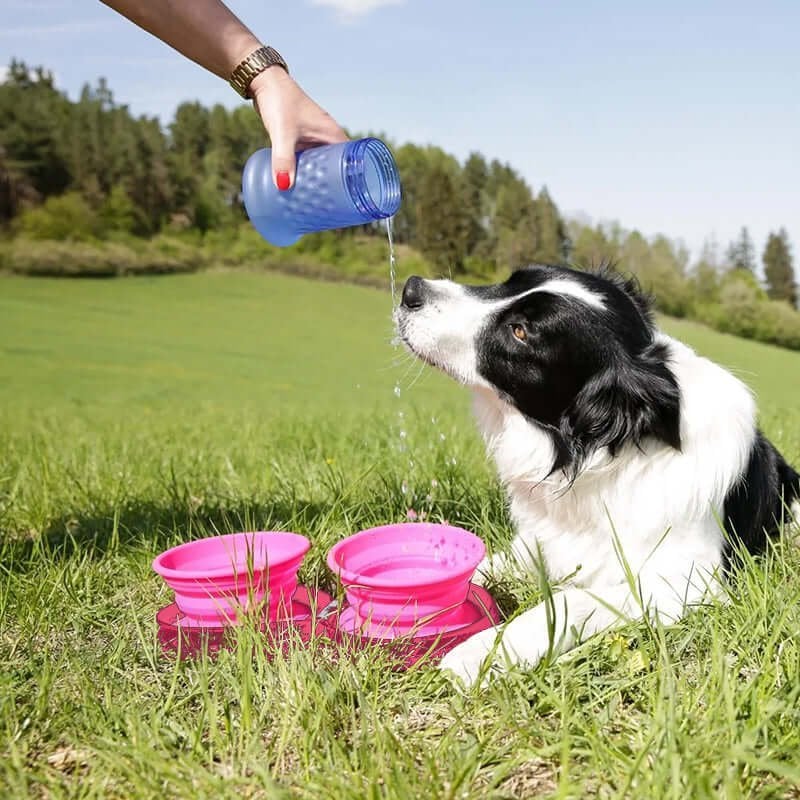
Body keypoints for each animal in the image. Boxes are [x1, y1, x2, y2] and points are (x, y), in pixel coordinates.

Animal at [396, 266, 800, 684]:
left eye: (520, 331)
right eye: (510, 281)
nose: (411, 290)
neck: (604, 453)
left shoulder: (690, 581)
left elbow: (572, 597)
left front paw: (482, 652)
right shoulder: (539, 543)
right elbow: (479, 568)